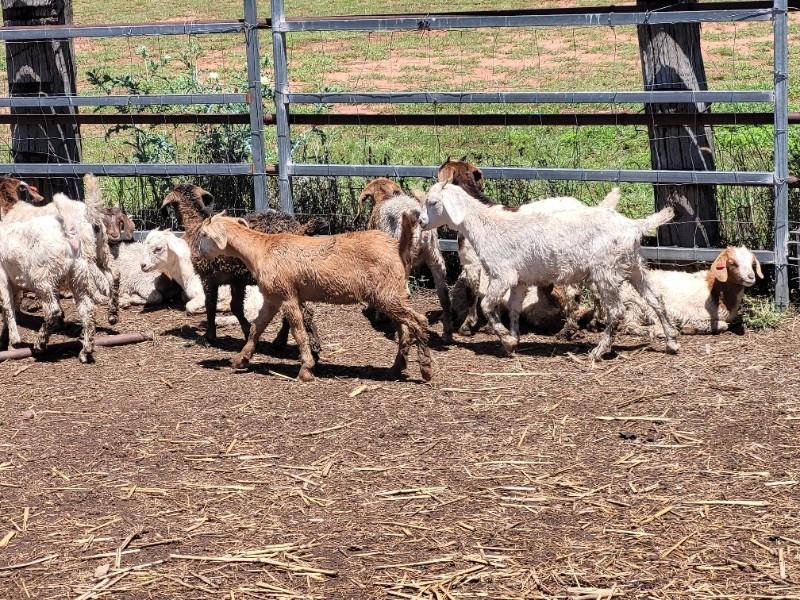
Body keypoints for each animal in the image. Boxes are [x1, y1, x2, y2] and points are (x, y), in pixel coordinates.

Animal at [162, 184, 322, 354]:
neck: (196, 225)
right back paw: (281, 341)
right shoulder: (236, 280)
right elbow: (236, 306)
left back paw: (312, 344)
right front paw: (247, 331)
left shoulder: (208, 277)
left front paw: (209, 337)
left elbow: (210, 305)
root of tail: (301, 229)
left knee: (304, 311)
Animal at [195, 213, 433, 382]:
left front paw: (306, 369)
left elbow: (299, 332)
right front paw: (240, 359)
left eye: (204, 235)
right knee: (405, 329)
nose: (197, 255)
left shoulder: (288, 296)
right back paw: (396, 368)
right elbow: (256, 328)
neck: (261, 250)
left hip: (387, 294)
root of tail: (399, 249)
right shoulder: (272, 298)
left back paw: (426, 369)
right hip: (392, 293)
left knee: (419, 321)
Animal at [358, 178, 453, 342]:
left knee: (404, 293)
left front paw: (379, 315)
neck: (384, 198)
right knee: (443, 293)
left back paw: (401, 333)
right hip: (435, 255)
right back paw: (447, 334)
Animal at [418, 181, 679, 360]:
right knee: (656, 300)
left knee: (616, 311)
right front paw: (514, 338)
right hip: (633, 265)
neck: (485, 225)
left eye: (433, 202)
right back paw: (672, 342)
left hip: (606, 271)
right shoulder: (520, 280)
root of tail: (634, 225)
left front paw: (505, 339)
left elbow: (487, 306)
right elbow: (513, 309)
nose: (421, 222)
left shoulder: (502, 274)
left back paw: (599, 350)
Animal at [622, 246, 763, 335]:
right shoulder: (694, 315)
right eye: (732, 263)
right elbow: (722, 325)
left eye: (753, 264)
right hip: (639, 304)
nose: (751, 277)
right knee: (630, 325)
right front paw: (688, 328)